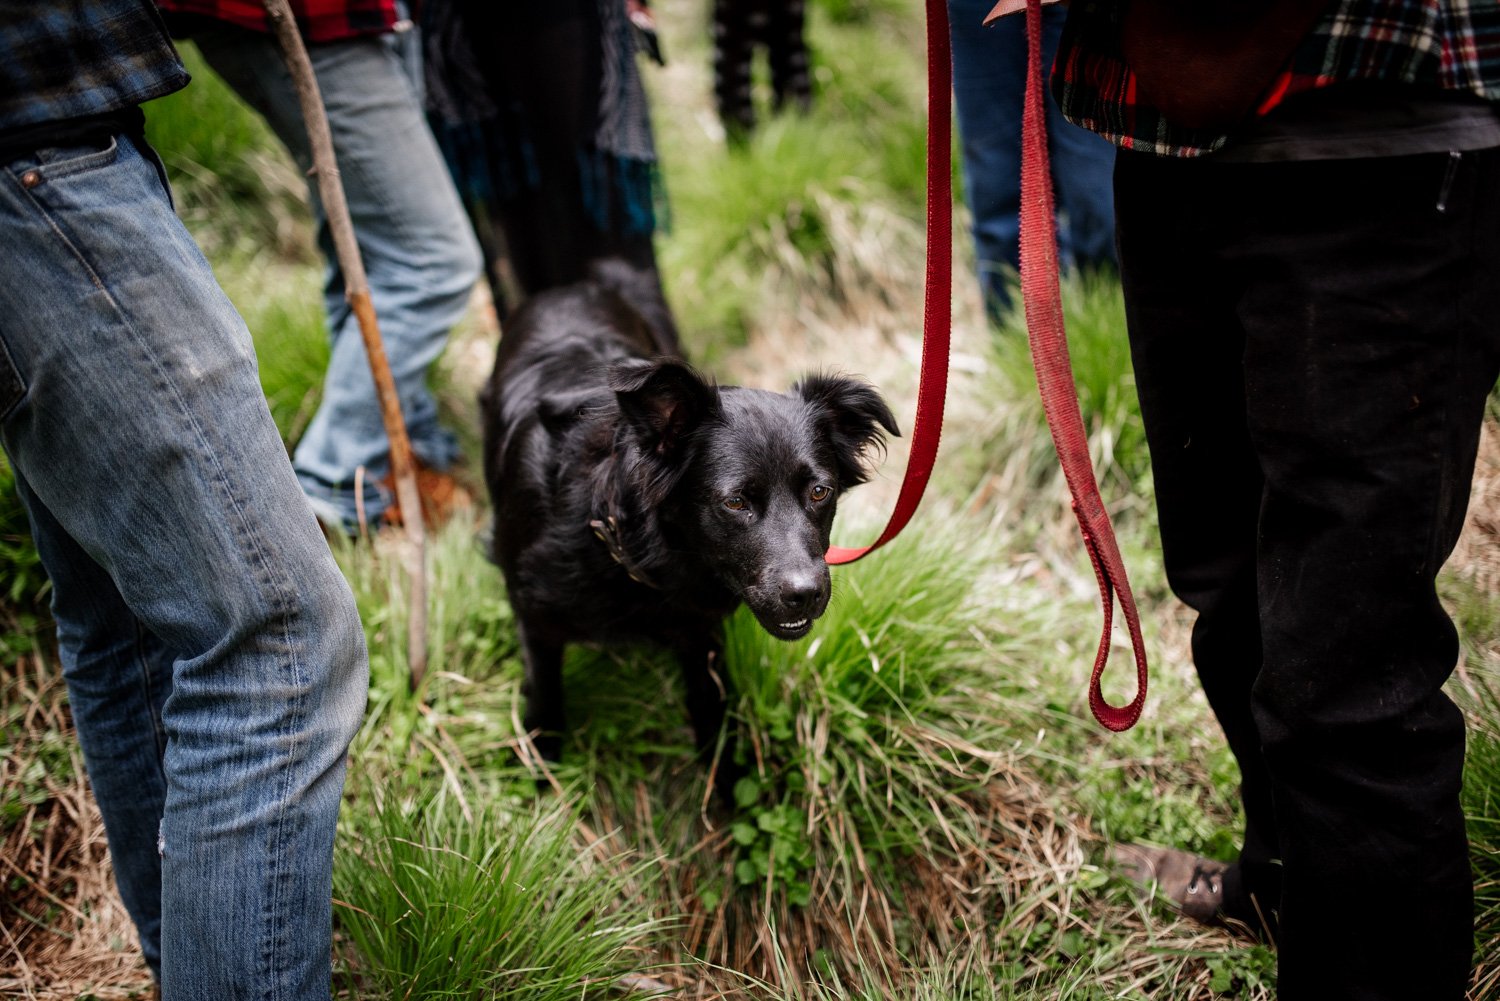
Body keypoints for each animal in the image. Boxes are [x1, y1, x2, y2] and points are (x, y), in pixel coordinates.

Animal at [486, 262, 894, 792]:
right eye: (735, 501)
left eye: (820, 492)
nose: (805, 594)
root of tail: (574, 284)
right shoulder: (534, 621)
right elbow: (545, 706)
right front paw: (543, 788)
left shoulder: (700, 633)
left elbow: (711, 711)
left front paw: (728, 790)